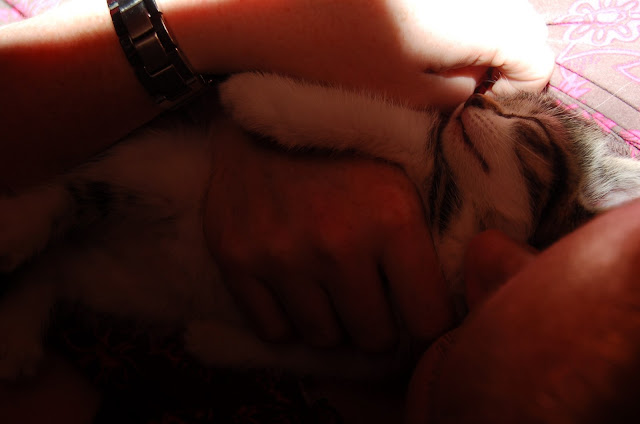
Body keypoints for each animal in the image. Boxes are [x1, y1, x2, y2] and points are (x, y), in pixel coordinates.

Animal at [1, 72, 640, 382]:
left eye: (531, 134)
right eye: (498, 91)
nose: (474, 99)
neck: (454, 227)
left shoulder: (396, 350)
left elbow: (328, 357)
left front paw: (220, 342)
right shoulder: (419, 152)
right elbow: (379, 120)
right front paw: (257, 94)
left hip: (120, 268)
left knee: (58, 262)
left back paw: (19, 332)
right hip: (167, 168)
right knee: (66, 194)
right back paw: (17, 225)